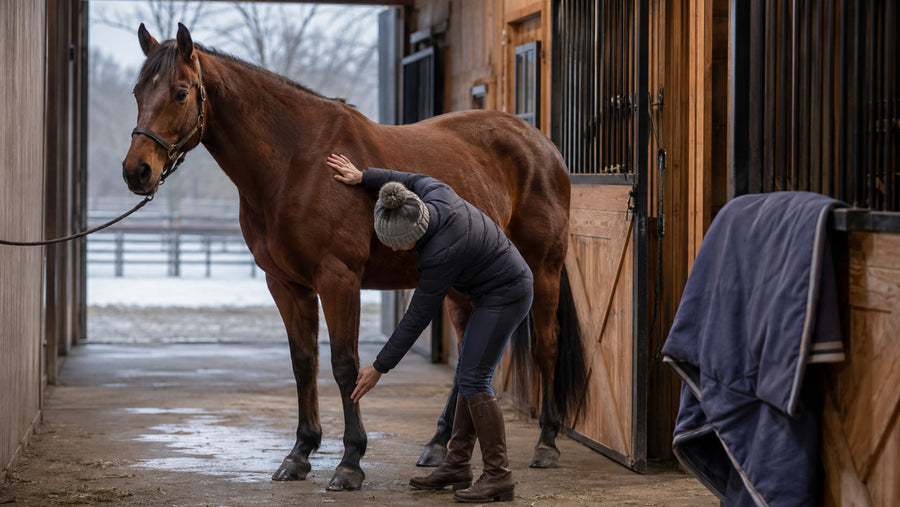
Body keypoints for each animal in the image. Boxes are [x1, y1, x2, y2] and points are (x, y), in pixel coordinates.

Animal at [122, 23, 588, 491]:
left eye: (181, 92)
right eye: (138, 92)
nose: (136, 172)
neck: (298, 162)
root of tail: (541, 144)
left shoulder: (338, 278)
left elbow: (345, 365)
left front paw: (349, 462)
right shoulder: (285, 284)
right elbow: (304, 363)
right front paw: (299, 453)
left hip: (542, 270)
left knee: (546, 343)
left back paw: (546, 442)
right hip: (460, 286)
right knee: (468, 361)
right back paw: (439, 445)